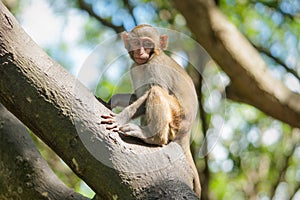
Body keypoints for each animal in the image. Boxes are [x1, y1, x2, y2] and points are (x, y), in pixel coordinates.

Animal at [101, 24, 202, 197]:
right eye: (136, 43)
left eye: (147, 44)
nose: (141, 52)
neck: (148, 61)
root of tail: (186, 134)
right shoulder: (134, 68)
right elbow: (138, 97)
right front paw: (114, 100)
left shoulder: (156, 68)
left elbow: (151, 93)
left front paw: (120, 118)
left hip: (176, 119)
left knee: (156, 91)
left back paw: (153, 137)